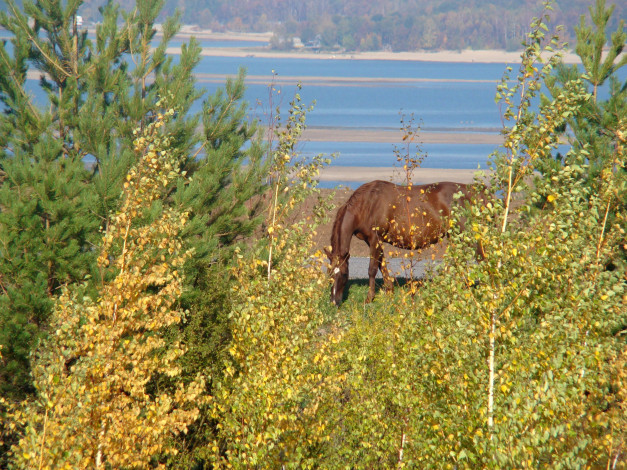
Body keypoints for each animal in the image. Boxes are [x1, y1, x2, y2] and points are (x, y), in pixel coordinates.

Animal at [328, 179, 480, 304]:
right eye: (329, 273)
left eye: (344, 274)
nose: (334, 301)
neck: (367, 204)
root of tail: (469, 191)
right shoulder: (373, 240)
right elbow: (382, 264)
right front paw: (389, 291)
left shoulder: (375, 239)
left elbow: (372, 269)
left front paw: (369, 298)